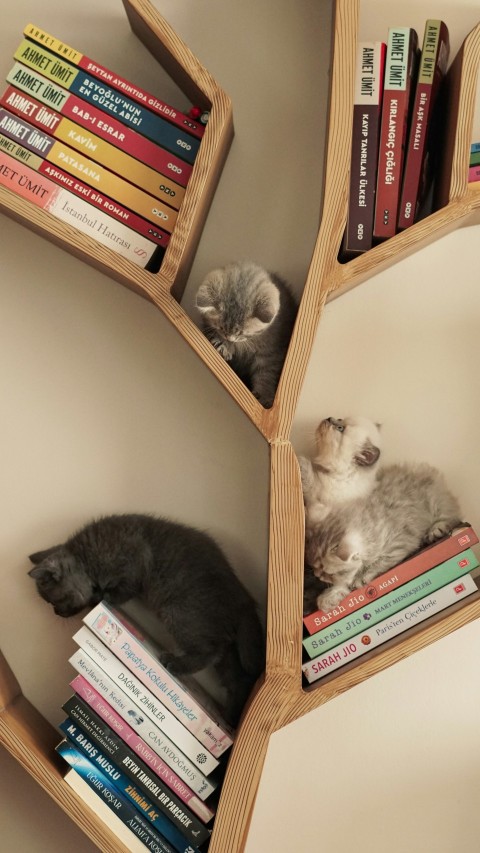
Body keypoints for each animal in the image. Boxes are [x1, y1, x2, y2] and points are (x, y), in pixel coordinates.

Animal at [27, 512, 264, 724]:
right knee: (238, 677)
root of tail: (243, 597)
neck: (87, 558)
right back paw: (231, 716)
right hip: (226, 646)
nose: (56, 613)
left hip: (179, 613)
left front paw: (103, 597)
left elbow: (124, 589)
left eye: (53, 601)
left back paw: (176, 664)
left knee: (211, 652)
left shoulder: (136, 560)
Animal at [195, 258, 296, 408]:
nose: (230, 338)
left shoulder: (273, 352)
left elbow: (267, 375)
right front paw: (223, 345)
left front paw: (265, 397)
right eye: (221, 329)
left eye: (242, 334)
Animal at [298, 414, 464, 608]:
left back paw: (436, 530)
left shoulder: (324, 497)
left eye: (340, 428)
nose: (329, 418)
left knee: (452, 514)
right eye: (339, 419)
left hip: (435, 500)